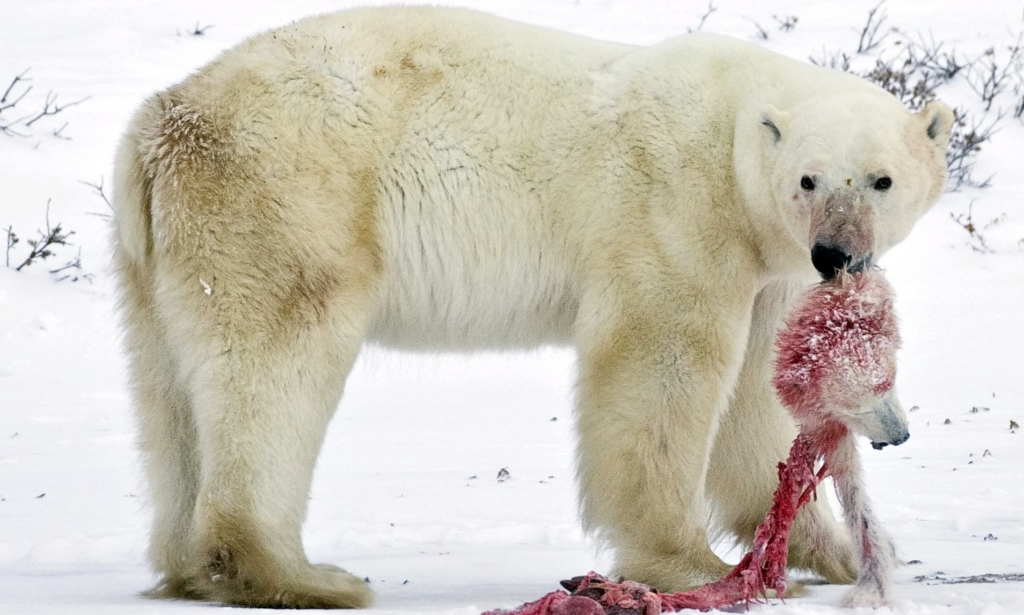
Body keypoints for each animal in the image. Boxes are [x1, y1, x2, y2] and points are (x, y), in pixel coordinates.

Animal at [112, 6, 950, 609]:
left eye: (880, 179)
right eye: (810, 178)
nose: (836, 254)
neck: (735, 128)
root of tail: (161, 119)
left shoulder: (766, 265)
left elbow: (755, 398)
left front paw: (833, 551)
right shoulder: (675, 208)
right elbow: (661, 364)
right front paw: (687, 563)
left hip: (160, 254)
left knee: (169, 393)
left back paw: (189, 566)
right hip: (286, 199)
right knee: (275, 369)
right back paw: (301, 575)